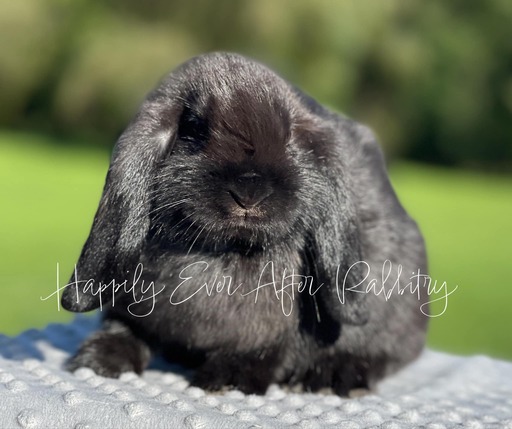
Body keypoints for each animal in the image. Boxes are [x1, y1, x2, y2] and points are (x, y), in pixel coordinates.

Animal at [61, 52, 428, 394]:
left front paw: (228, 379)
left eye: (289, 137)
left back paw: (335, 377)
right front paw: (99, 358)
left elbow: (267, 350)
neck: (219, 253)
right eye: (194, 127)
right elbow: (124, 328)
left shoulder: (275, 328)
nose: (250, 190)